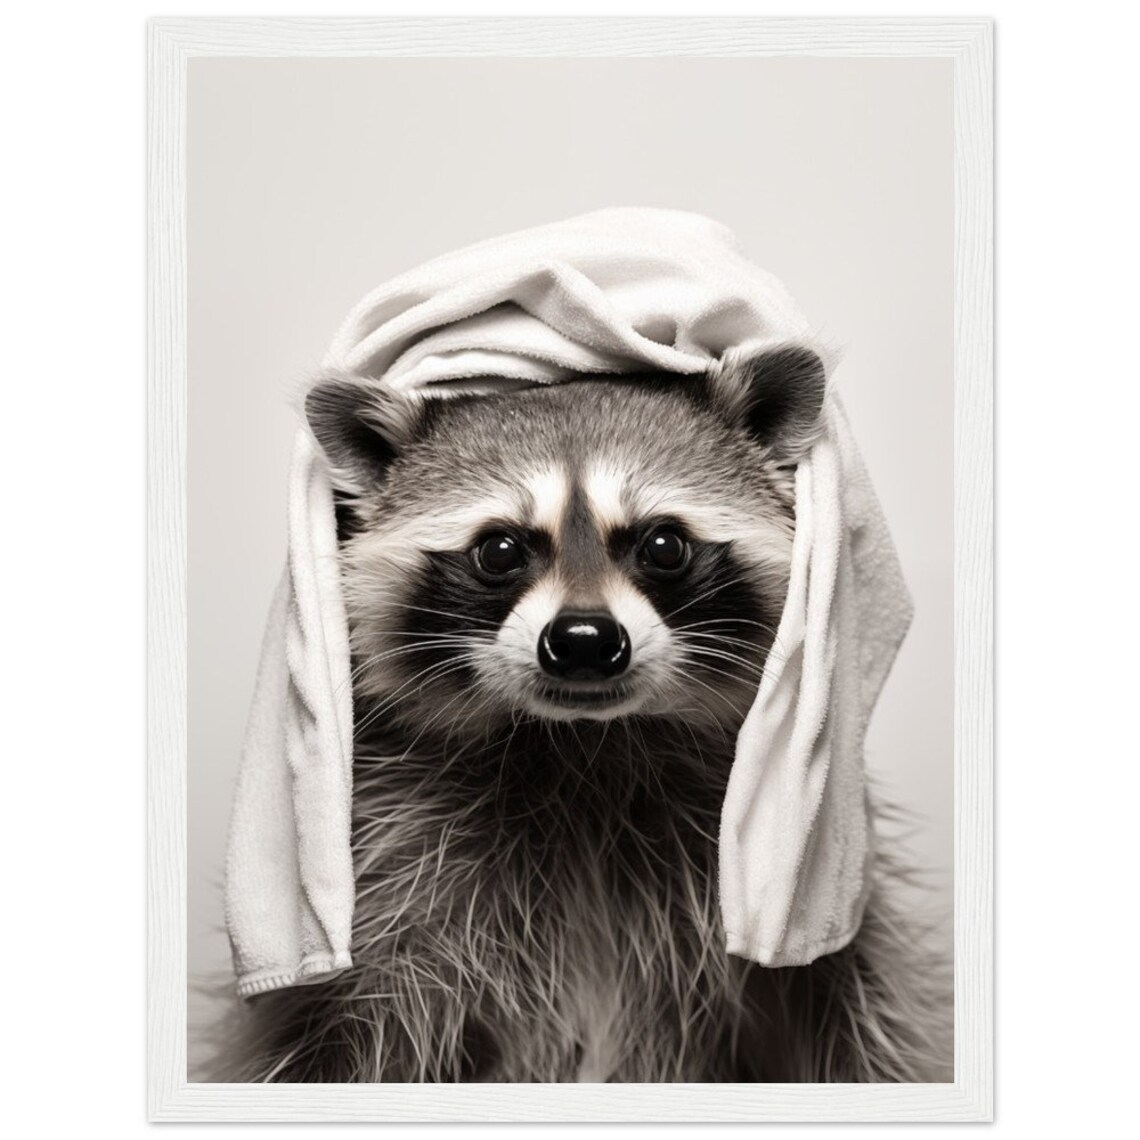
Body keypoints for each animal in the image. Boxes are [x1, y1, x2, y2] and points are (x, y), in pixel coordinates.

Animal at [224, 348, 951, 1083]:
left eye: (664, 545)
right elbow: (331, 1038)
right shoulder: (389, 869)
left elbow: (853, 1025)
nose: (583, 640)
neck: (585, 741)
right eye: (499, 550)